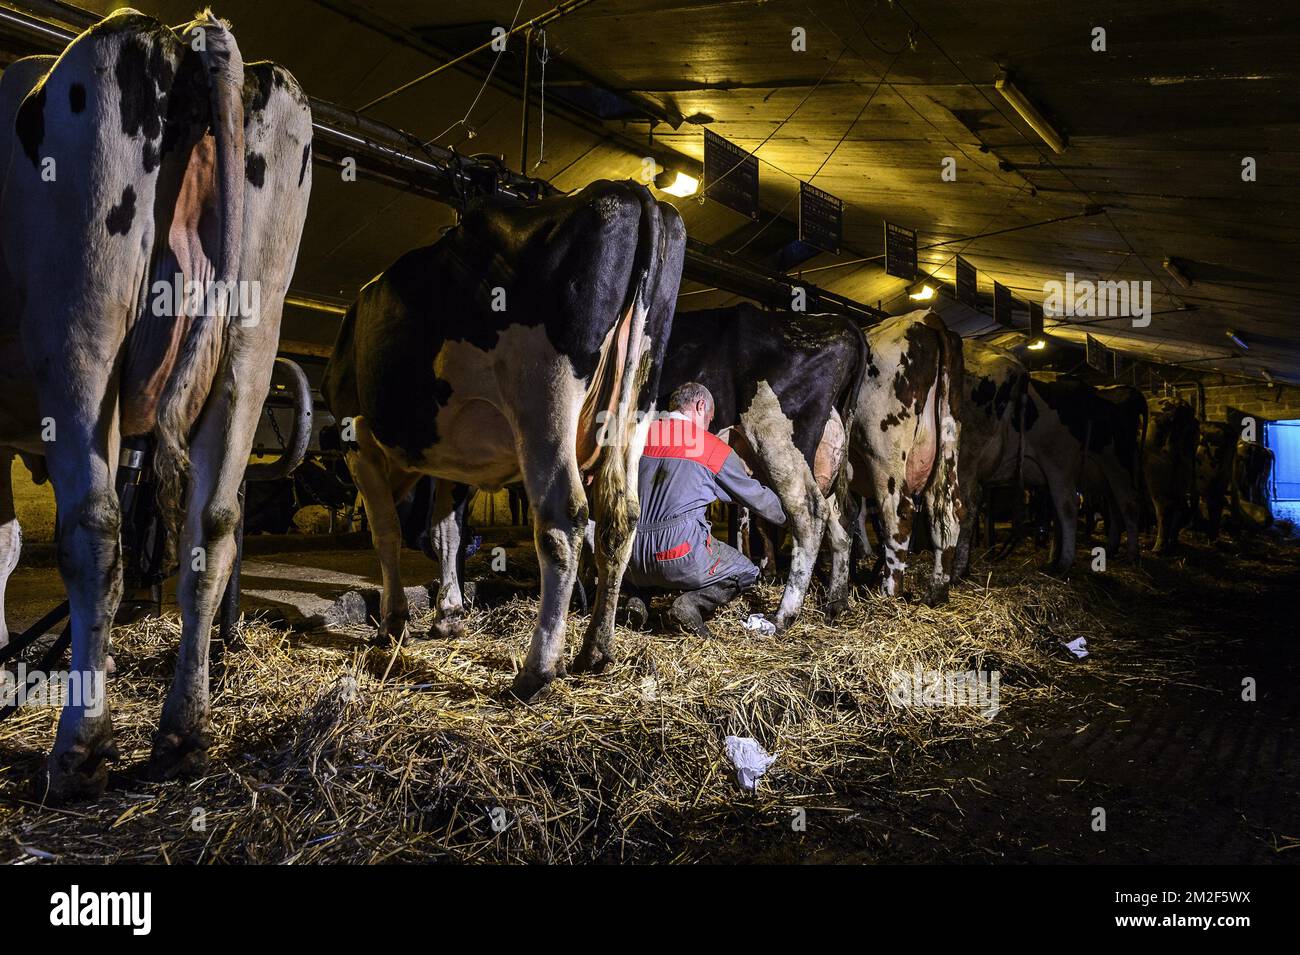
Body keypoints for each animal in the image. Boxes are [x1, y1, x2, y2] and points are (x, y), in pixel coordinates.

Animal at [0, 9, 313, 800]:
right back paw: (182, 733)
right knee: (214, 525)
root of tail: (186, 35)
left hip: (80, 322)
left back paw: (80, 748)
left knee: (96, 529)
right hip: (251, 341)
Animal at [319, 180, 686, 701]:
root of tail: (628, 189)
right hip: (635, 407)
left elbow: (386, 531)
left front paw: (393, 623)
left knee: (564, 520)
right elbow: (447, 532)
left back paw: (537, 670)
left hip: (542, 399)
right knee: (620, 516)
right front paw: (448, 615)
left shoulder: (358, 435)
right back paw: (595, 652)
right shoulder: (453, 458)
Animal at [655, 306, 868, 631]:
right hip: (824, 461)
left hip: (774, 436)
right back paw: (835, 604)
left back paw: (783, 615)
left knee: (808, 514)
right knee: (841, 519)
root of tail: (835, 321)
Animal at [842, 310, 967, 600]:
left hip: (883, 455)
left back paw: (889, 593)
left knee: (898, 514)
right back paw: (936, 592)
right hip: (949, 444)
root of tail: (926, 317)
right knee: (948, 509)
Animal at [1149, 394, 1196, 553]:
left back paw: (1158, 548)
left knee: (1163, 508)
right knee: (1179, 509)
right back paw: (1172, 545)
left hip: (1155, 476)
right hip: (1184, 475)